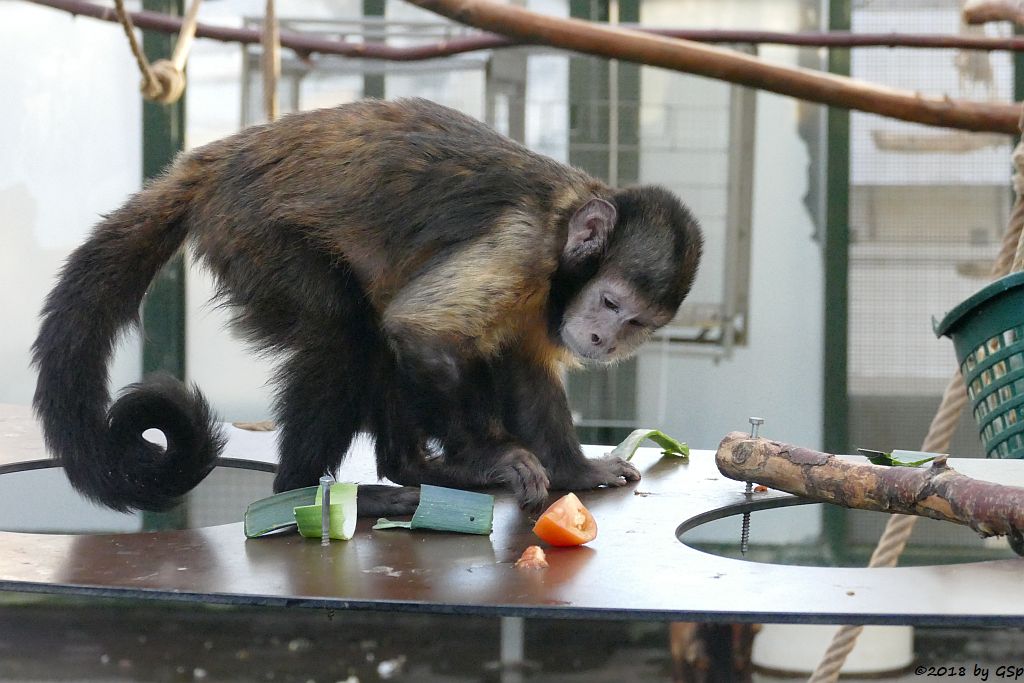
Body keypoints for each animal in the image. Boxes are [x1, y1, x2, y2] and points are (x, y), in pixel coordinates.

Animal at [34, 97, 704, 518]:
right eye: (609, 302)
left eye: (635, 323)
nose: (603, 340)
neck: (567, 224)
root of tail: (221, 158)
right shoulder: (522, 246)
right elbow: (421, 330)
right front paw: (491, 457)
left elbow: (521, 366)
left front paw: (574, 471)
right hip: (249, 232)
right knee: (347, 329)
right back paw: (303, 489)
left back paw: (413, 469)